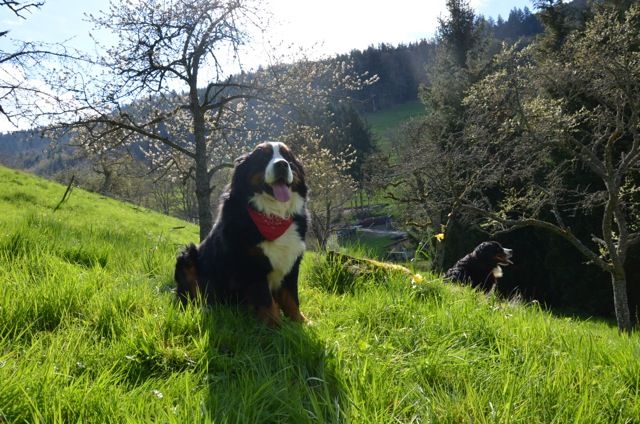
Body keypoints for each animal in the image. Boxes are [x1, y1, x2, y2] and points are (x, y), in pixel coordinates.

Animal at [174, 142, 306, 324]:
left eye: (288, 157)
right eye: (264, 157)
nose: (282, 164)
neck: (273, 215)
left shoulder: (292, 262)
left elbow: (291, 297)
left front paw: (301, 322)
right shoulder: (252, 265)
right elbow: (265, 299)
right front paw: (274, 325)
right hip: (187, 257)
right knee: (192, 296)